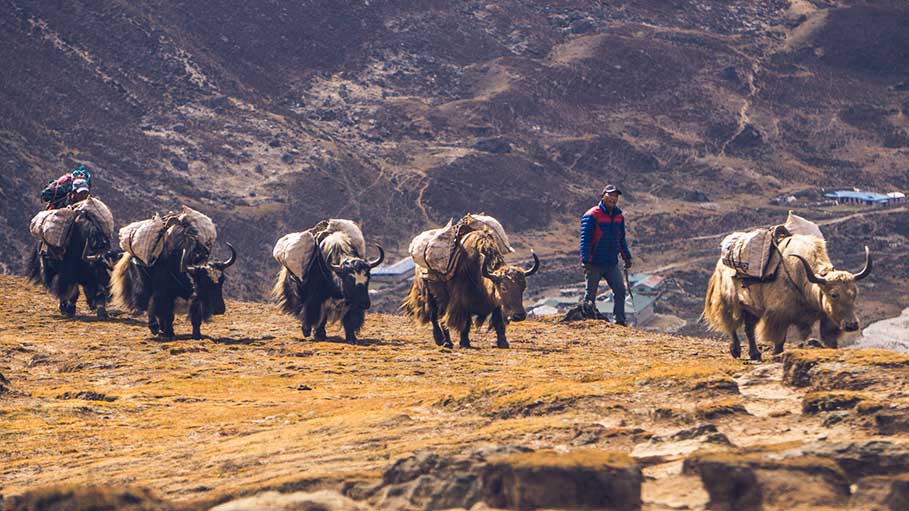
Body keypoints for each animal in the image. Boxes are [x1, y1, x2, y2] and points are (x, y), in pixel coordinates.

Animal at [403, 230, 539, 349]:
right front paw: (464, 343)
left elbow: (498, 322)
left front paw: (503, 343)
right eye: (503, 287)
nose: (519, 316)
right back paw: (443, 341)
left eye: (523, 287)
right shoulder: (463, 301)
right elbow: (466, 323)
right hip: (429, 294)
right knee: (435, 316)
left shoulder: (496, 303)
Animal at [704, 233, 871, 361]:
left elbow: (829, 340)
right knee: (730, 323)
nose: (852, 325)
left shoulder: (826, 318)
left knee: (749, 329)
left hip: (752, 308)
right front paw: (777, 355)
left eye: (854, 293)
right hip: (729, 300)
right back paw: (736, 350)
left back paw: (755, 354)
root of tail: (720, 263)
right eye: (834, 294)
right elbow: (779, 341)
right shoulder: (779, 316)